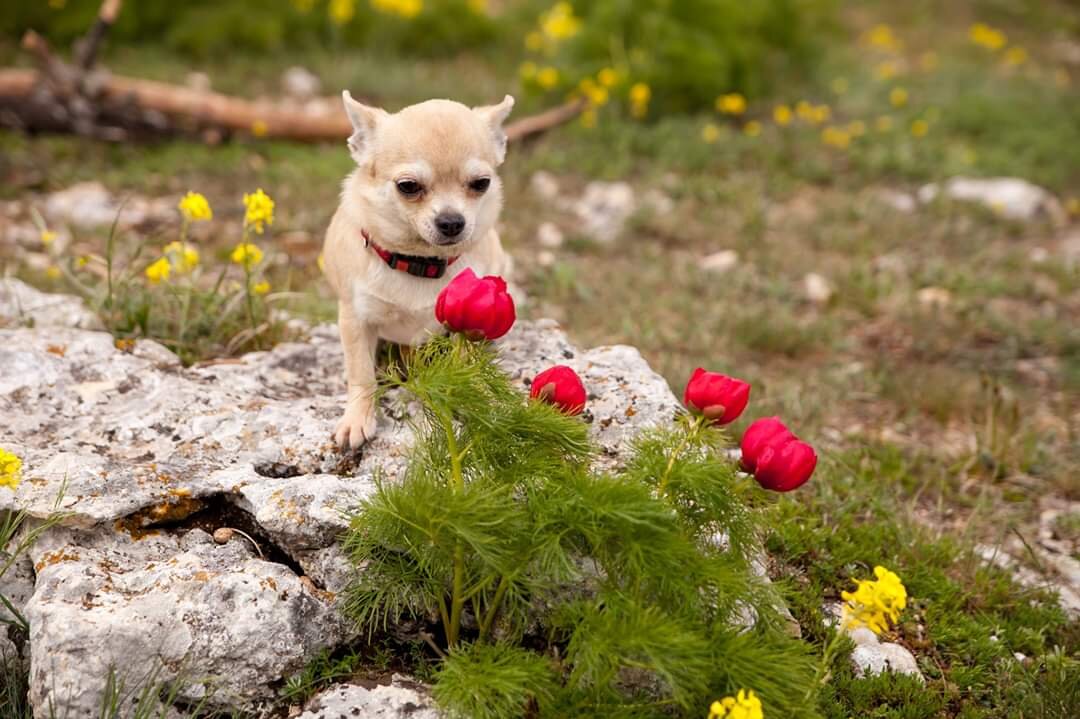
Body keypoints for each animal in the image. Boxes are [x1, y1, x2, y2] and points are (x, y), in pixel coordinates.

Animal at [319, 91, 514, 444]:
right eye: (408, 186)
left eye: (481, 183)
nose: (451, 221)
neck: (421, 262)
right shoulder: (355, 319)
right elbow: (360, 372)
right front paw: (357, 417)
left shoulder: (467, 327)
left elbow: (466, 362)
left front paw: (476, 395)